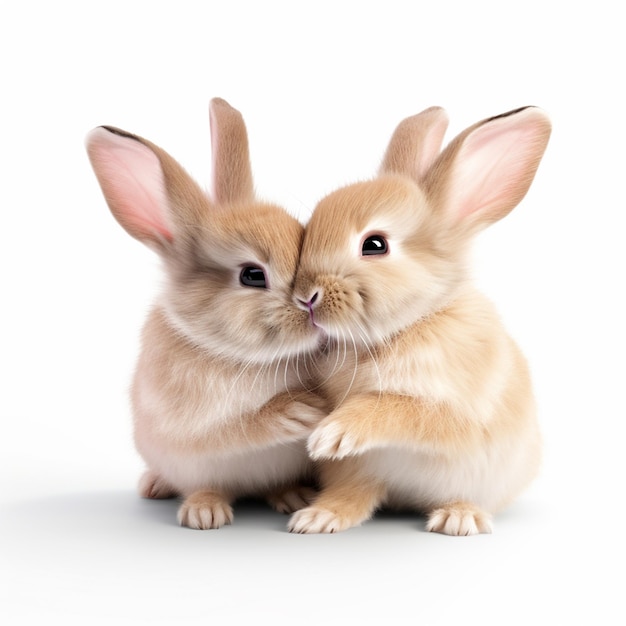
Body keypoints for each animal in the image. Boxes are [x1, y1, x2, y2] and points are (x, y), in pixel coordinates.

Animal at [85, 97, 324, 528]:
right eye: (252, 275)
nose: (312, 305)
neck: (242, 357)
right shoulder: (189, 428)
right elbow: (234, 430)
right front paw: (298, 411)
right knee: (203, 486)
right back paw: (197, 509)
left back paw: (293, 495)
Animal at [288, 105, 552, 532]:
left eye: (374, 244)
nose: (305, 296)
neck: (406, 325)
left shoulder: (457, 414)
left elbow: (398, 408)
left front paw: (331, 435)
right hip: (358, 473)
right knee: (356, 496)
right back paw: (317, 517)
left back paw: (458, 519)